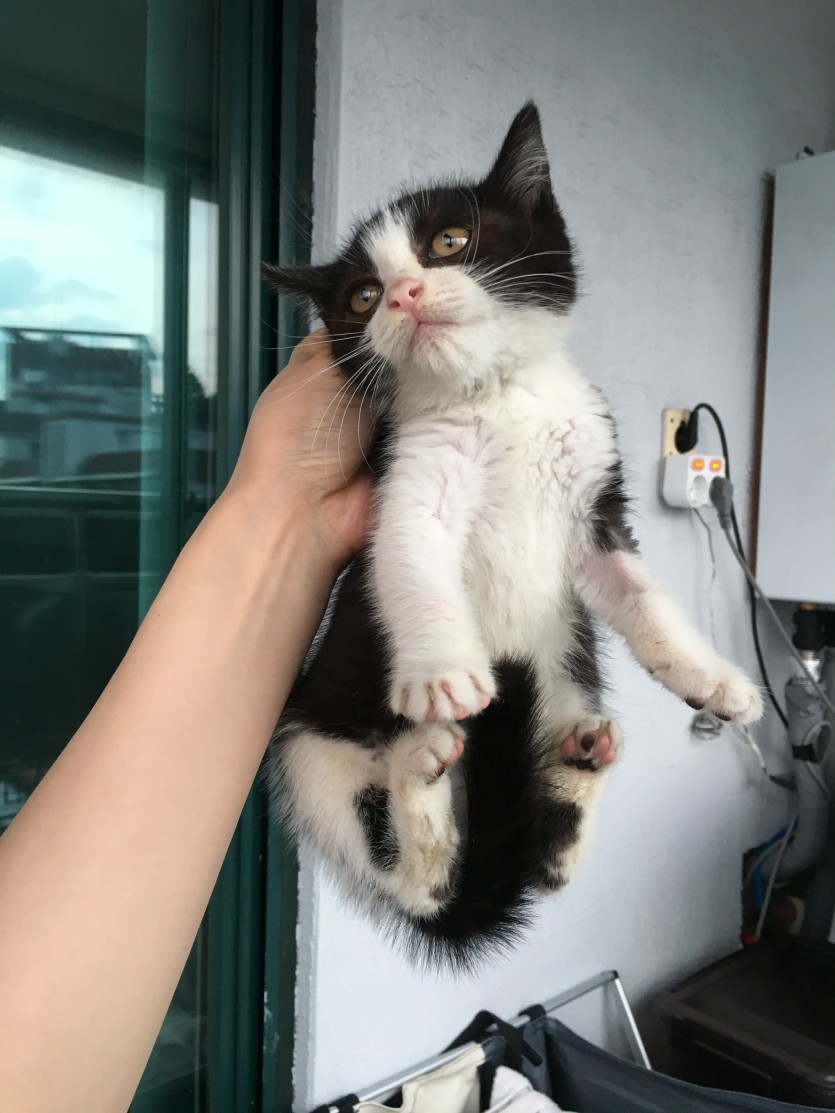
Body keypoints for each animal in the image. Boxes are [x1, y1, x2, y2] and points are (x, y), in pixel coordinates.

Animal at [264, 103, 762, 969]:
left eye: (448, 241)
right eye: (361, 296)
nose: (403, 293)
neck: (497, 398)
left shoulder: (595, 501)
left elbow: (641, 595)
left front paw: (713, 677)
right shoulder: (405, 480)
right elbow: (411, 564)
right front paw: (441, 672)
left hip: (564, 684)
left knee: (543, 865)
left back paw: (576, 769)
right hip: (312, 755)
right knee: (415, 877)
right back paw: (422, 773)